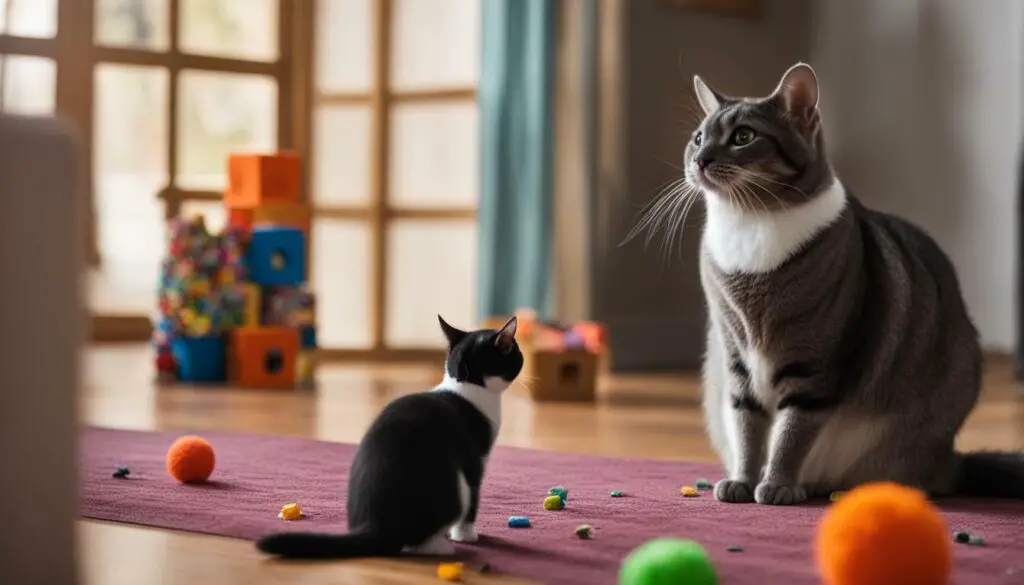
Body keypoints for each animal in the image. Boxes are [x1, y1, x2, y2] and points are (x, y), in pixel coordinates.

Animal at [252, 315, 524, 557]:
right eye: (515, 351)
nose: (519, 353)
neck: (464, 384)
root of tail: (375, 526)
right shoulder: (475, 459)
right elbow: (473, 501)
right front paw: (466, 535)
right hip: (451, 486)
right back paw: (440, 548)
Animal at [679, 63, 1024, 504]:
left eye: (743, 136)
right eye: (698, 137)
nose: (700, 160)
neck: (750, 223)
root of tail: (951, 462)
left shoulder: (816, 365)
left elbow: (793, 432)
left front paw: (776, 484)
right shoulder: (734, 352)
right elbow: (747, 426)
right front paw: (742, 480)